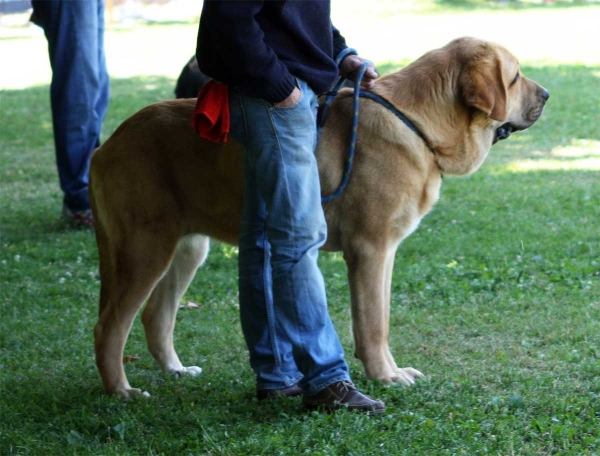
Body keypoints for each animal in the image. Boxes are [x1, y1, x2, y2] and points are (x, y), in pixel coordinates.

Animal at [90, 37, 548, 398]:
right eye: (515, 77)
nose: (545, 94)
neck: (418, 123)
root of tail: (106, 144)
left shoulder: (386, 254)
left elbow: (380, 319)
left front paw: (388, 371)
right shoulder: (369, 250)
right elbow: (372, 323)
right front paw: (384, 377)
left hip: (187, 249)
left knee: (156, 316)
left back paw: (175, 370)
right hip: (144, 249)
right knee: (109, 326)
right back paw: (121, 391)